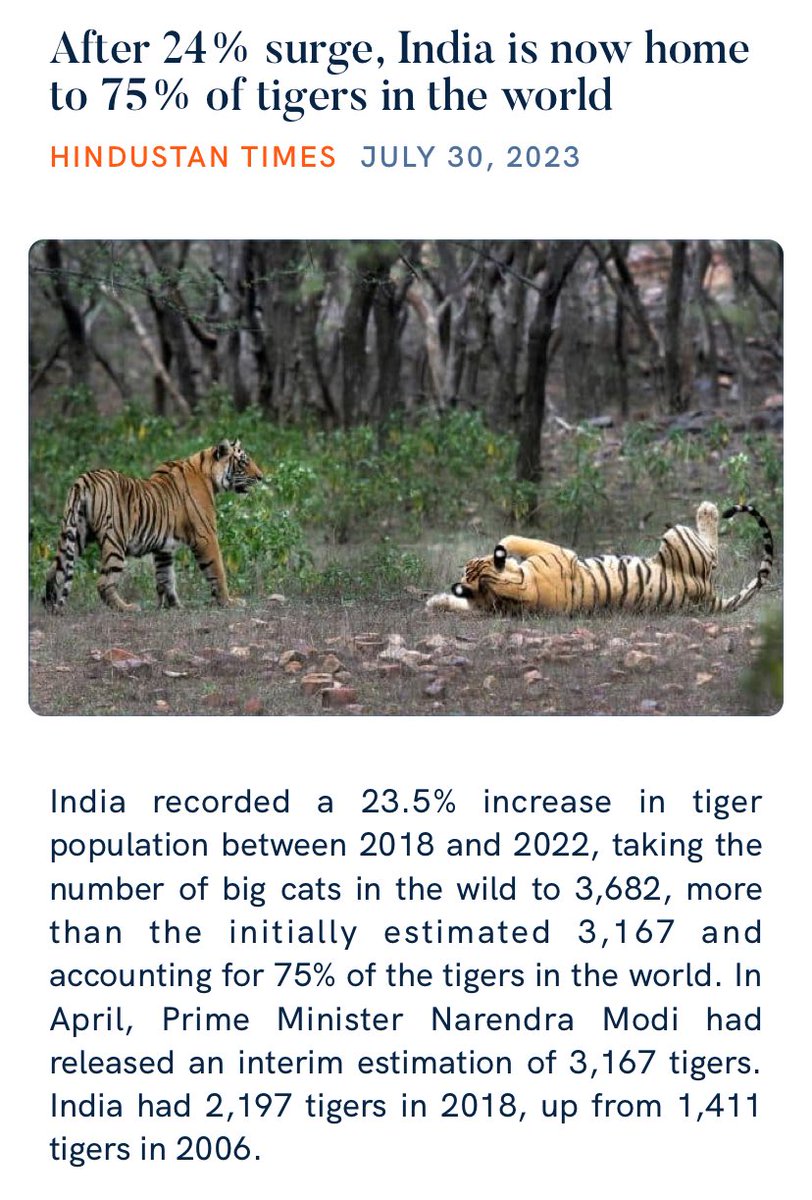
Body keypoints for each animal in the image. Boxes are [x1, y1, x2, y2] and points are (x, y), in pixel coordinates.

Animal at [43, 439, 263, 612]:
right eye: (243, 461)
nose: (261, 477)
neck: (208, 475)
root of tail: (84, 479)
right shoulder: (205, 536)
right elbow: (217, 571)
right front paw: (228, 602)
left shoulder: (163, 547)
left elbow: (166, 577)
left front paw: (173, 606)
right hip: (114, 540)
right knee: (103, 582)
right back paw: (127, 608)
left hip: (75, 533)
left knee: (54, 570)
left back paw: (49, 606)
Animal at [426, 502, 773, 616]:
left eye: (470, 563)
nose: (464, 565)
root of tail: (709, 596)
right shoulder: (557, 552)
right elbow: (513, 538)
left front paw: (436, 602)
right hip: (677, 536)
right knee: (713, 552)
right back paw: (708, 509)